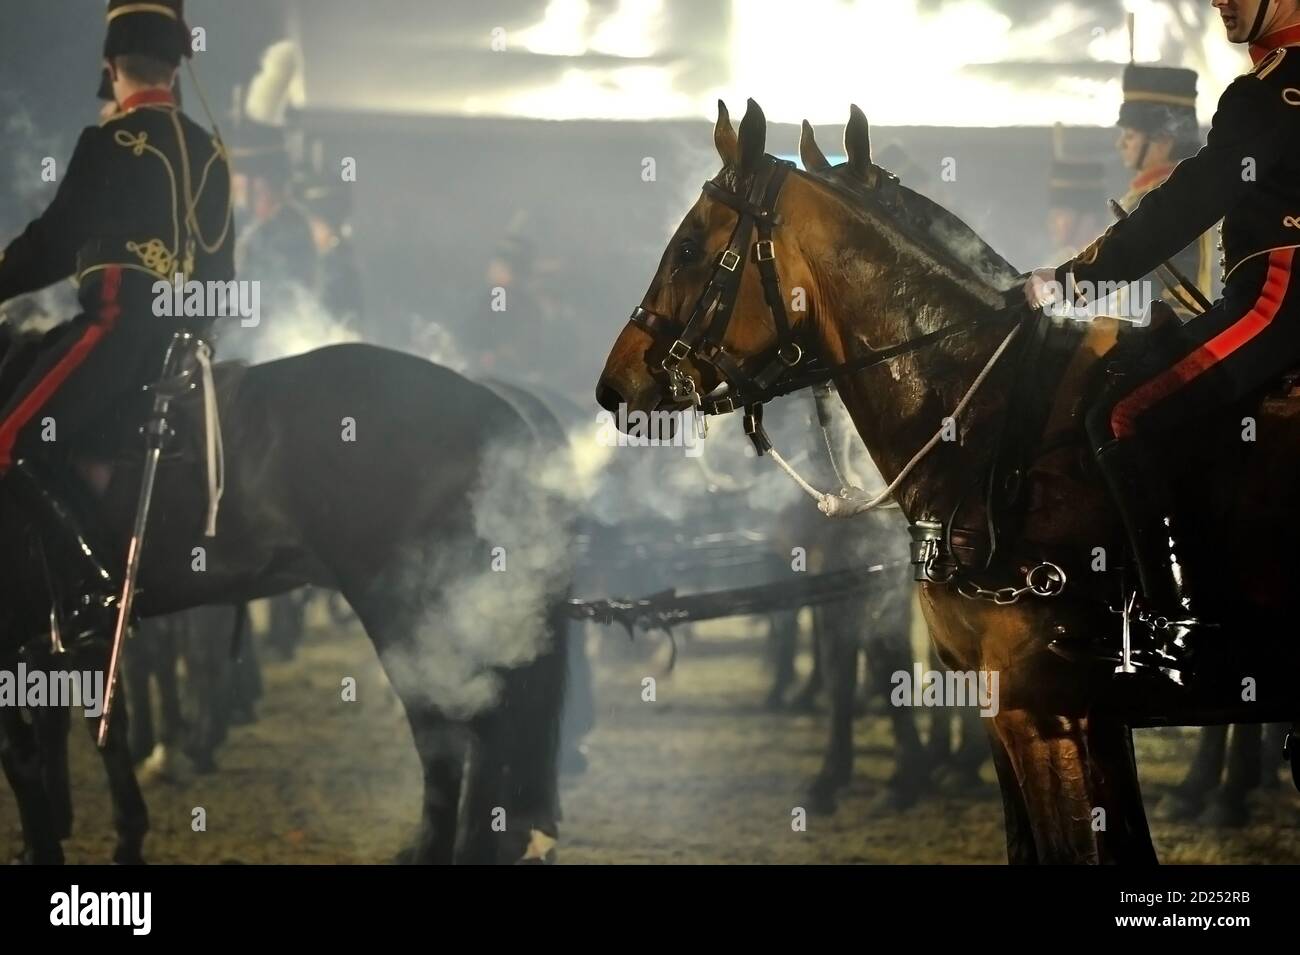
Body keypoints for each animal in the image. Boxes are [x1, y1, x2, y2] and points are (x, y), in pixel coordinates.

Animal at [1, 337, 569, 867]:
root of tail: (498, 416)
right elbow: (92, 718)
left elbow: (23, 748)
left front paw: (47, 839)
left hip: (413, 622)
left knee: (453, 739)